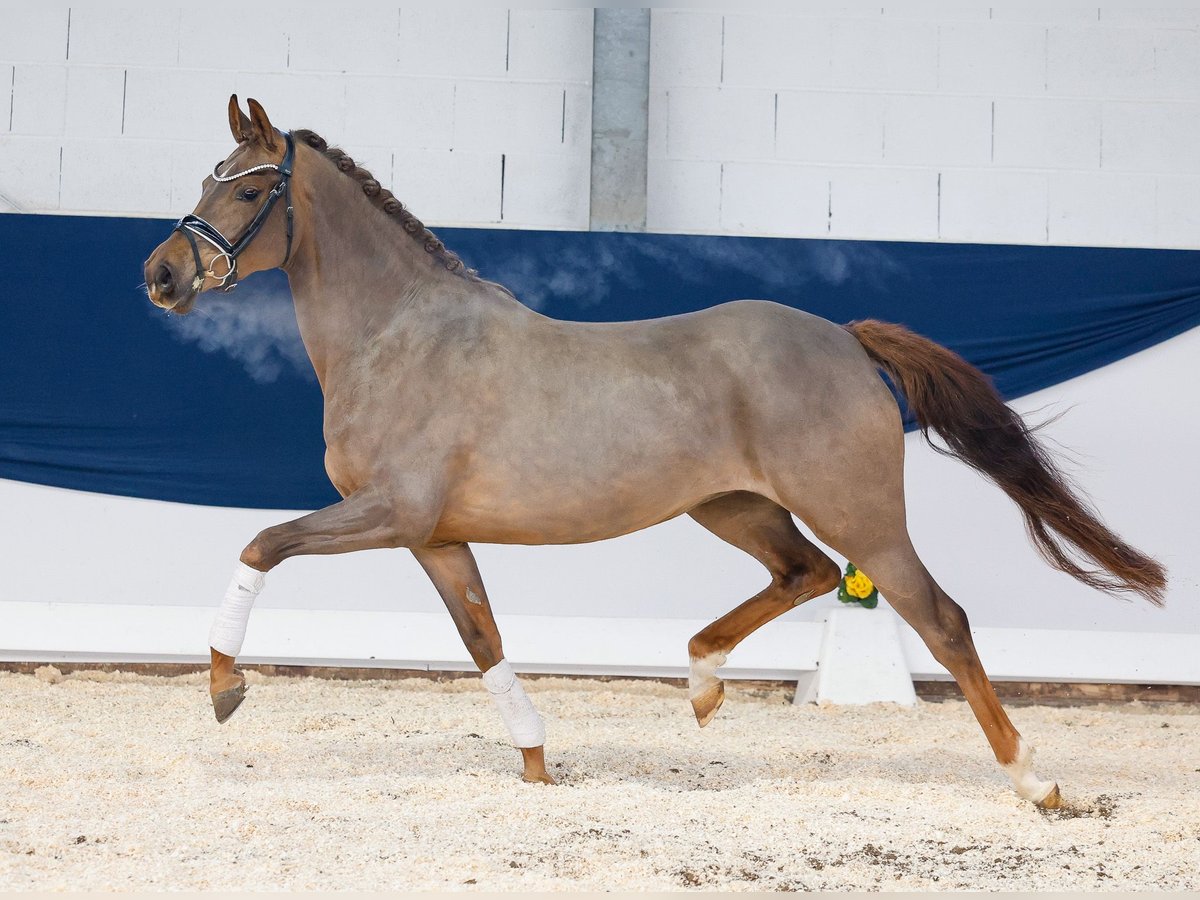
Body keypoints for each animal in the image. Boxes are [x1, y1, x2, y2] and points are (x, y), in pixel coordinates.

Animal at [142, 98, 1161, 811]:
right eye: (207, 176)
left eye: (247, 187)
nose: (161, 275)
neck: (400, 335)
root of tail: (844, 338)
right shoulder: (436, 536)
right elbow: (484, 641)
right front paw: (538, 766)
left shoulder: (391, 513)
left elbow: (261, 543)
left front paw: (225, 686)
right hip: (733, 505)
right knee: (802, 573)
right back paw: (703, 684)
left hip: (858, 513)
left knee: (938, 617)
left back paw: (1037, 784)